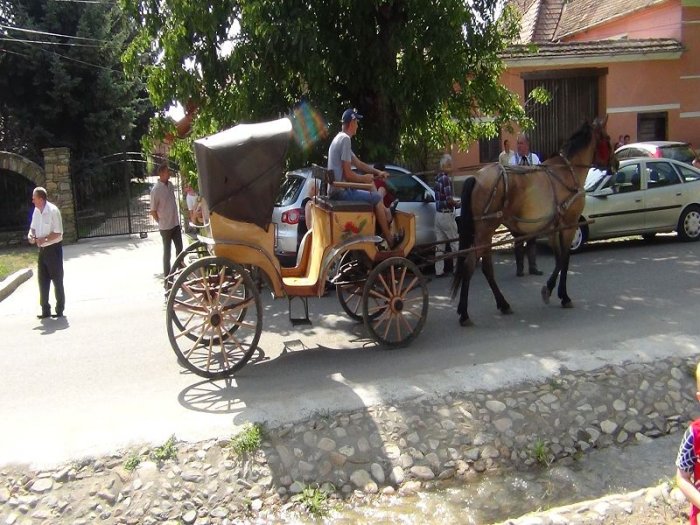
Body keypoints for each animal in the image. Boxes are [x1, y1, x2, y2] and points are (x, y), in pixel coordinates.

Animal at [451, 119, 607, 327]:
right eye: (607, 139)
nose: (616, 163)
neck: (567, 171)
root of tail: (476, 177)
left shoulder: (555, 227)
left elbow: (559, 258)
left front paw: (555, 291)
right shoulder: (570, 224)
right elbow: (564, 259)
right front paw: (557, 293)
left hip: (483, 233)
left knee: (484, 268)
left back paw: (499, 305)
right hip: (485, 231)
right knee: (471, 266)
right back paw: (466, 313)